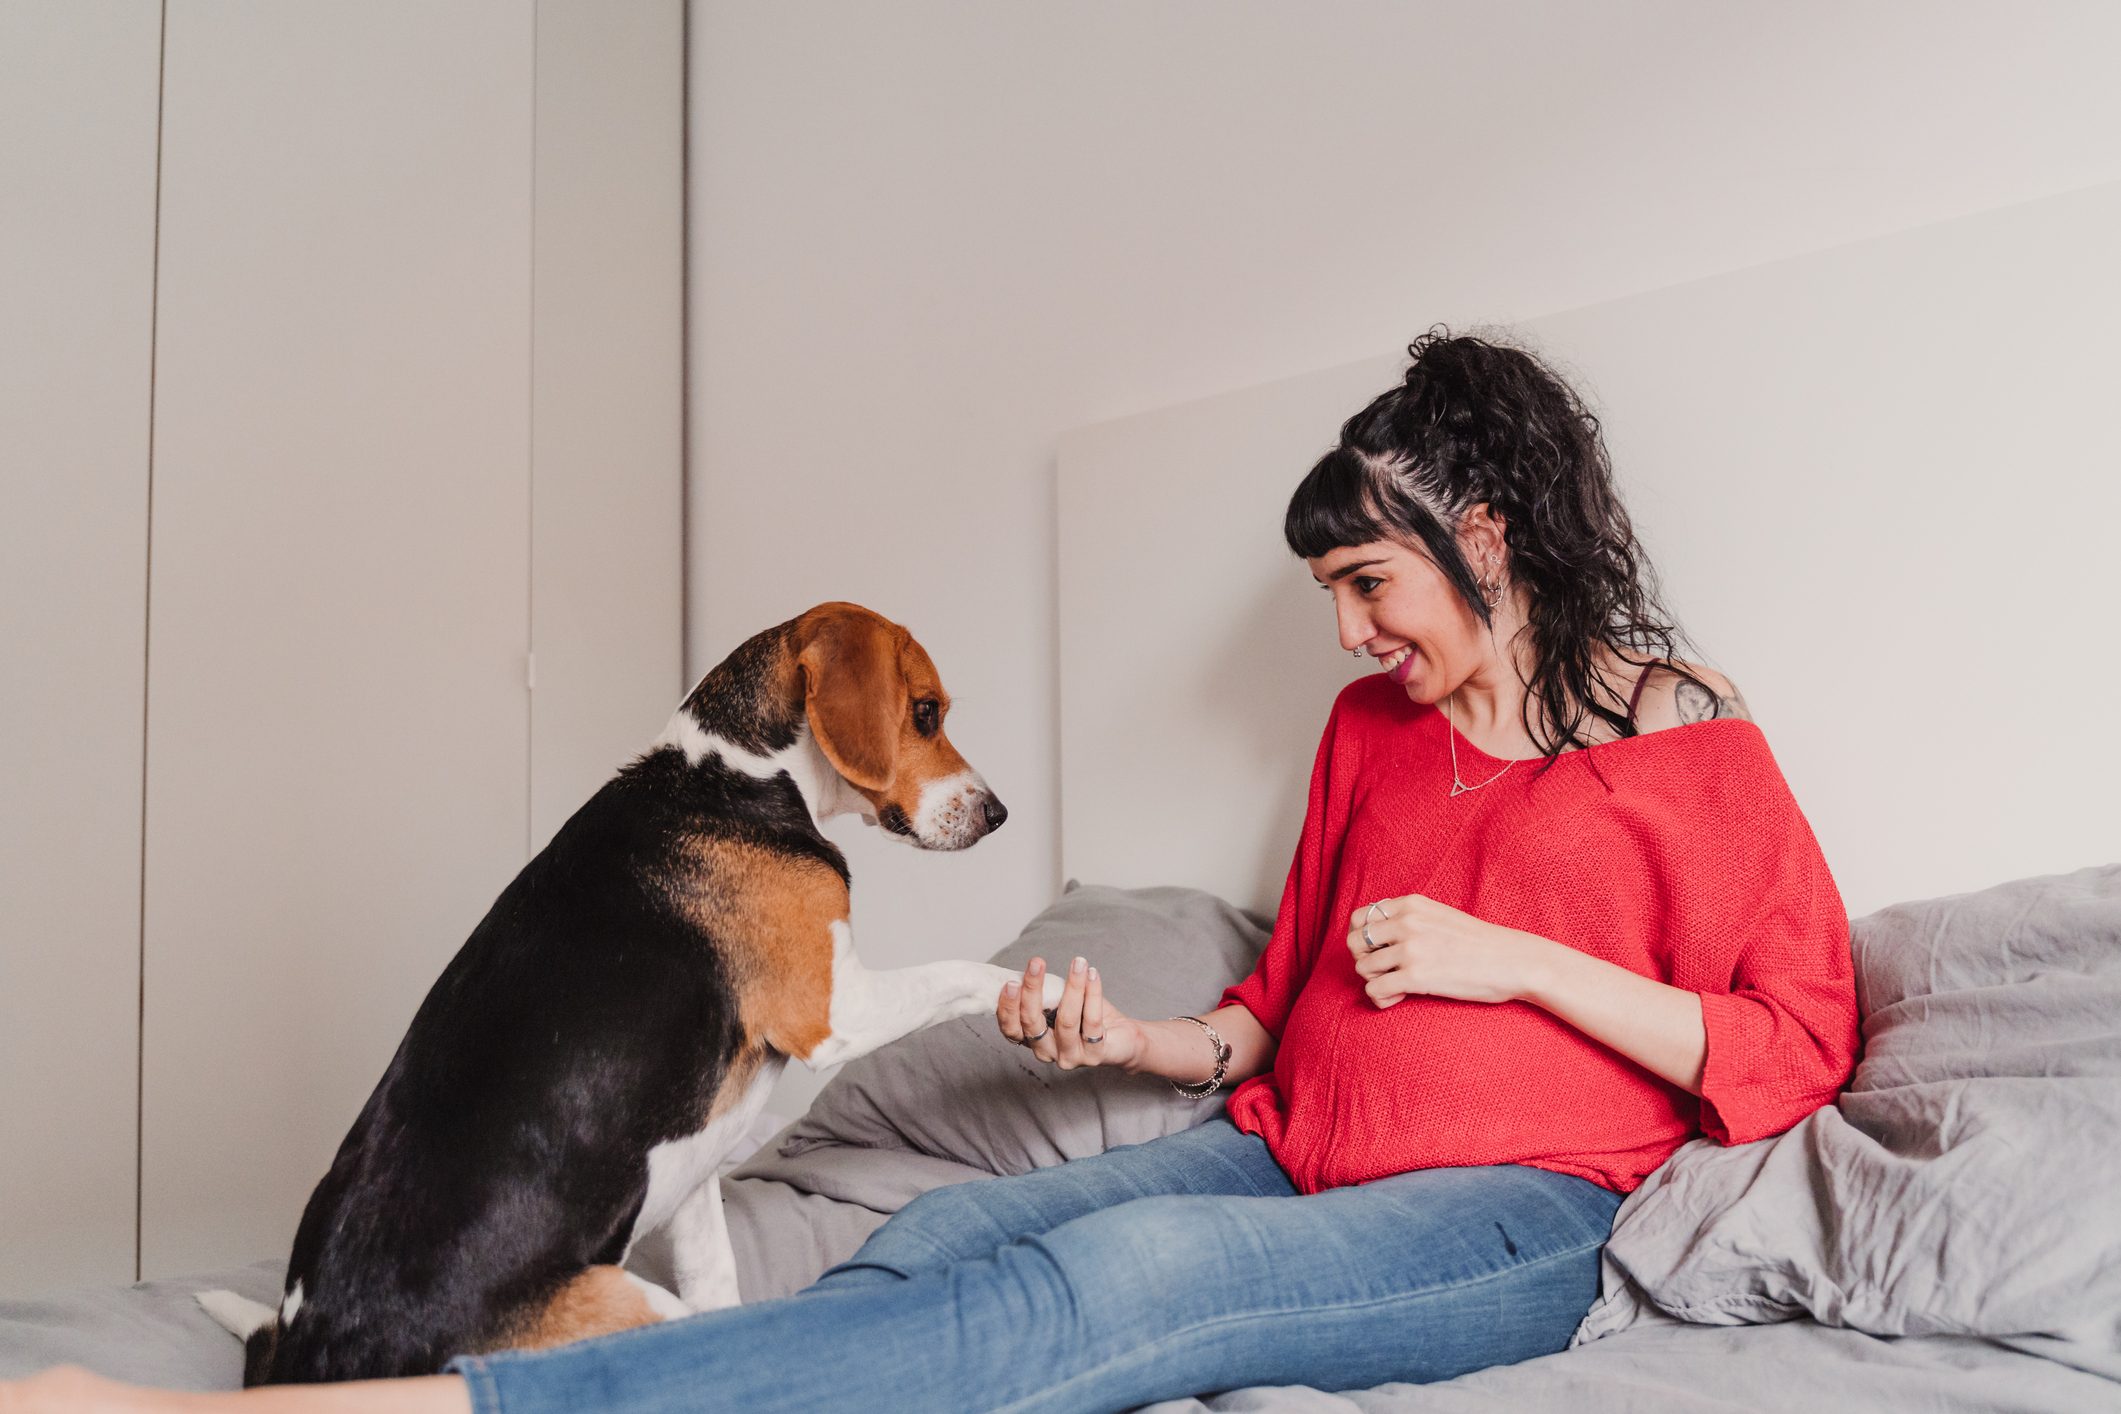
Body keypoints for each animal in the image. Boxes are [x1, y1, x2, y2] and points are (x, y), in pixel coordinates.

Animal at [199, 606, 1068, 1382]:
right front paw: (1055, 994)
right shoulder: (831, 1010)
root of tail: (313, 1353)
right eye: (924, 714)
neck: (731, 776)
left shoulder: (695, 1176)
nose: (998, 813)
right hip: (628, 1307)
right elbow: (963, 970)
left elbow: (720, 1278)